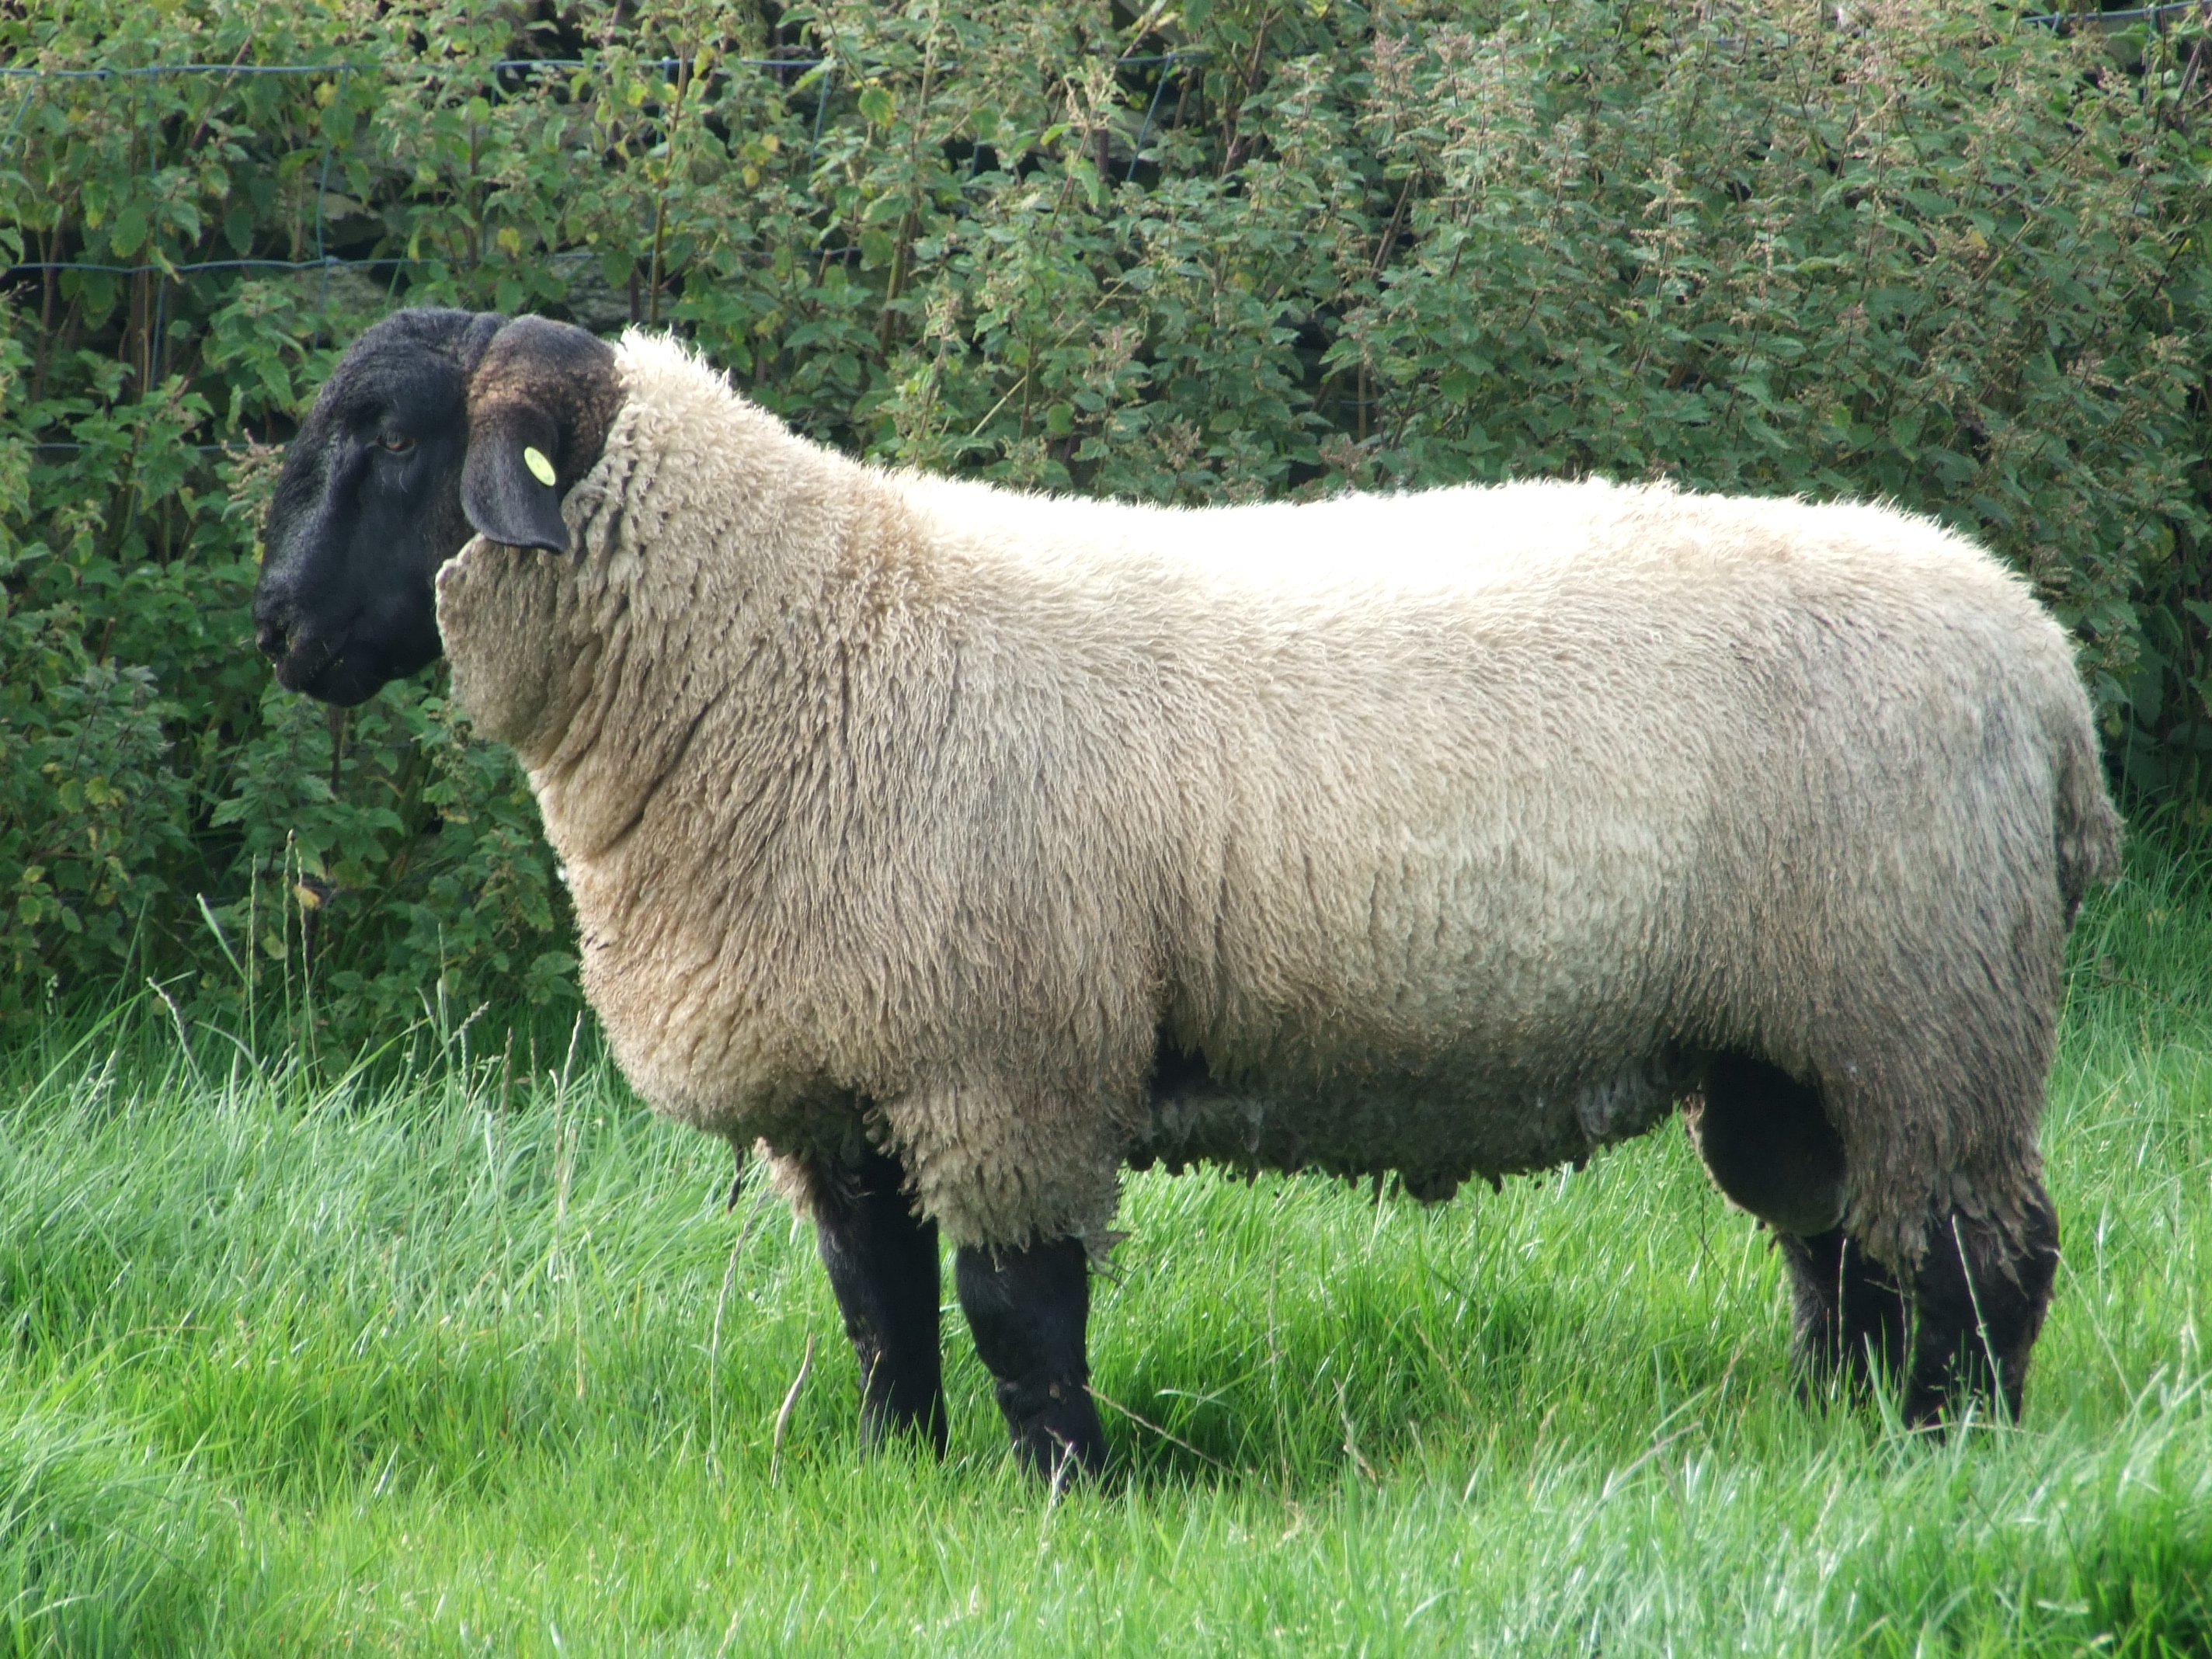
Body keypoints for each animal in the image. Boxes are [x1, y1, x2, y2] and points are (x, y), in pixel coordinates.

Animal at [254, 311, 2123, 1477]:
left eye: (395, 440)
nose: (275, 629)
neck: (795, 638)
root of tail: (2038, 666)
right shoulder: (846, 1081)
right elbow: (876, 1307)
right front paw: (895, 1474)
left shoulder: (1002, 1062)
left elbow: (1017, 1310)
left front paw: (1066, 1496)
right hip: (1796, 1037)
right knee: (1841, 1242)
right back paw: (1830, 1425)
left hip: (1926, 1003)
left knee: (1984, 1255)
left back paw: (1957, 1450)